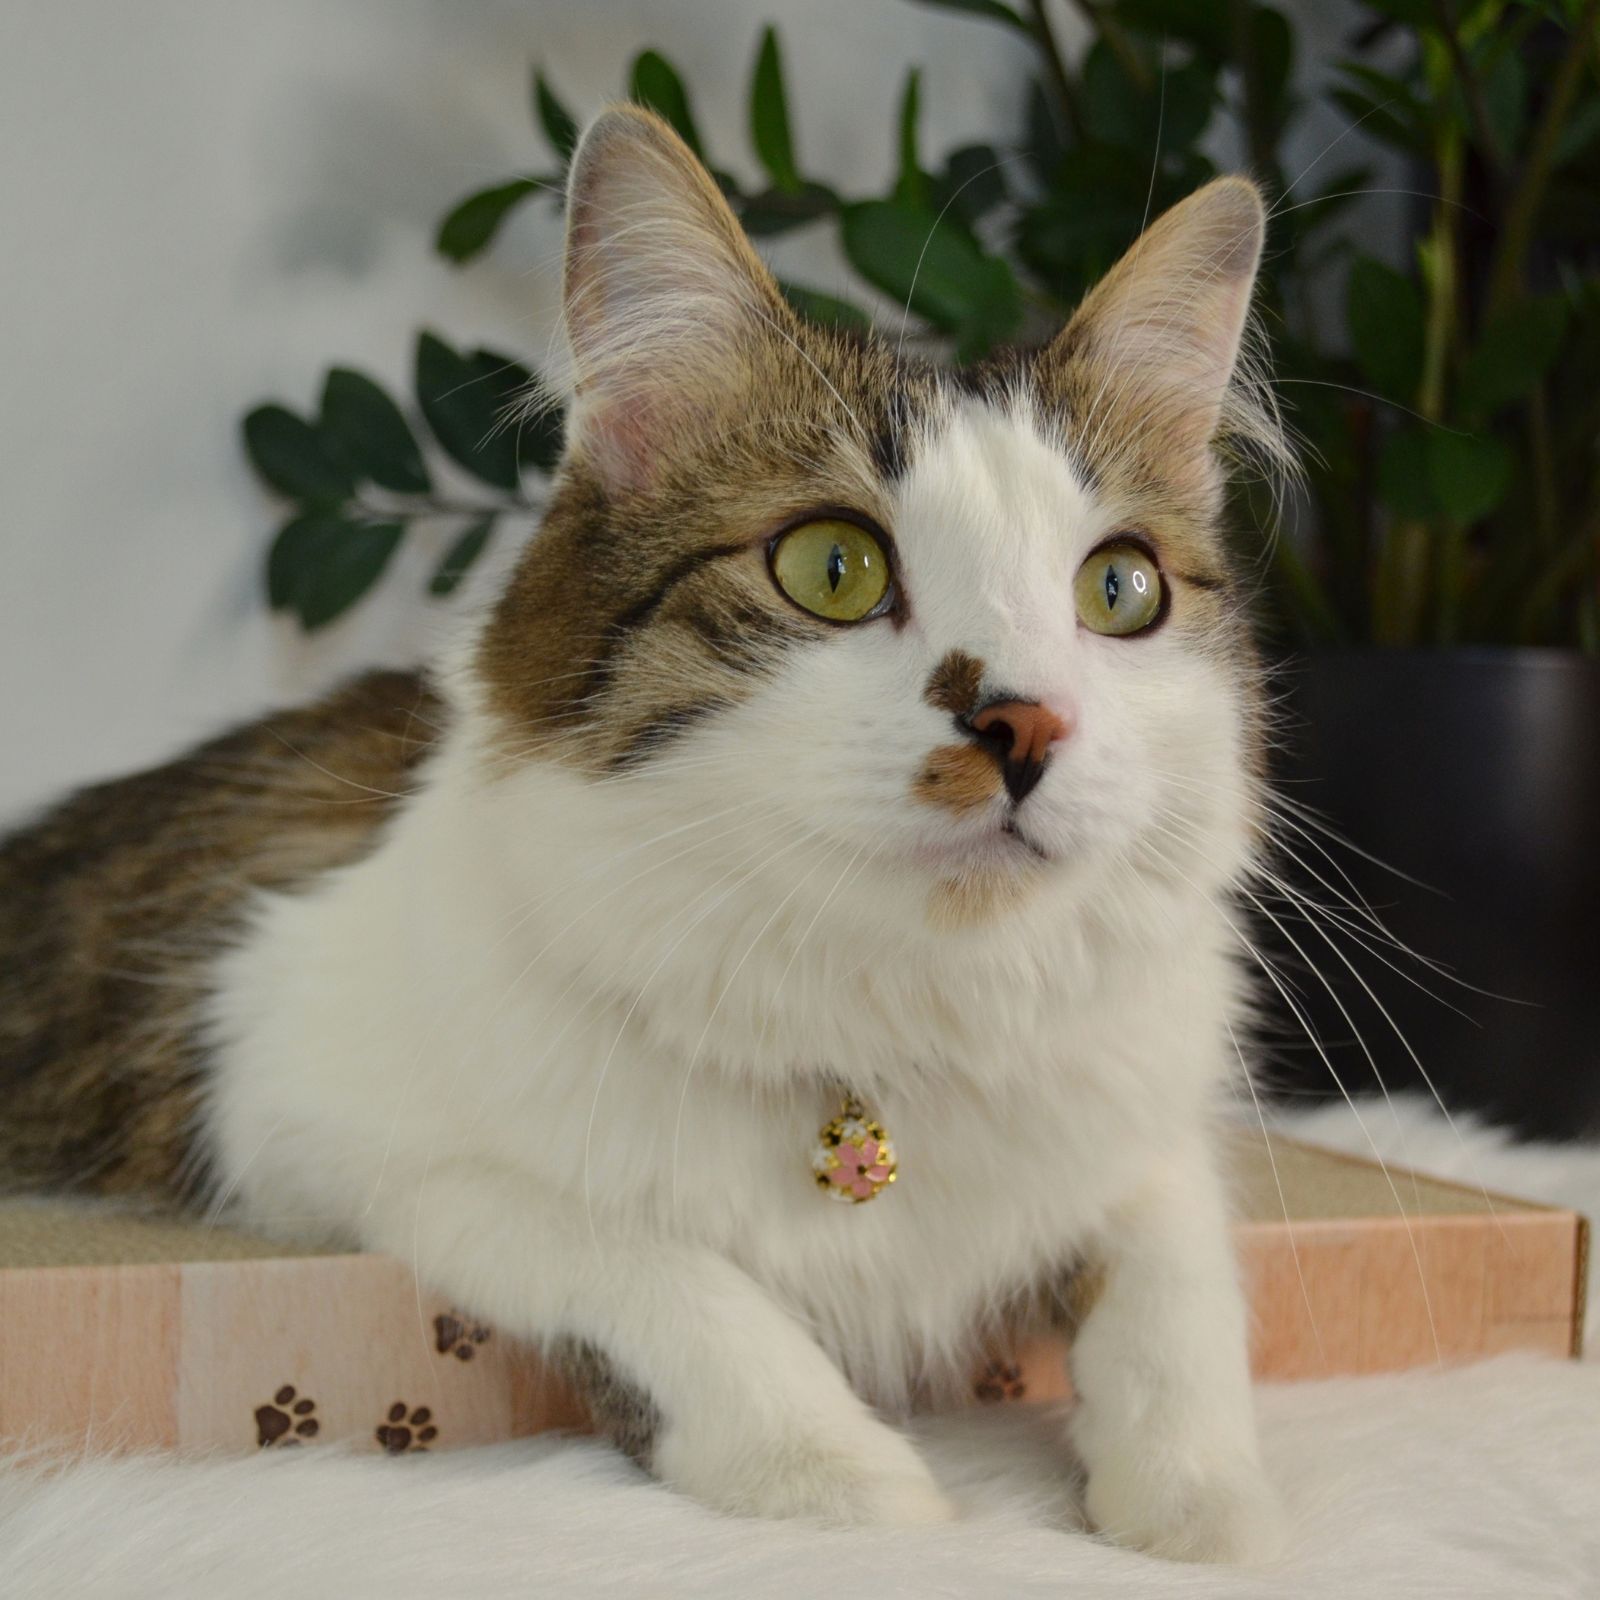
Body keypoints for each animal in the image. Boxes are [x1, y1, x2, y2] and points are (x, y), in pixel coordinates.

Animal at [3, 109, 1286, 1561]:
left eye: (1119, 590)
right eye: (833, 568)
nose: (1027, 723)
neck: (893, 1024)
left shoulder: (1146, 1125)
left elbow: (1178, 1286)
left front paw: (1204, 1500)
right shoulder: (310, 1109)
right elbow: (665, 1270)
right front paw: (841, 1474)